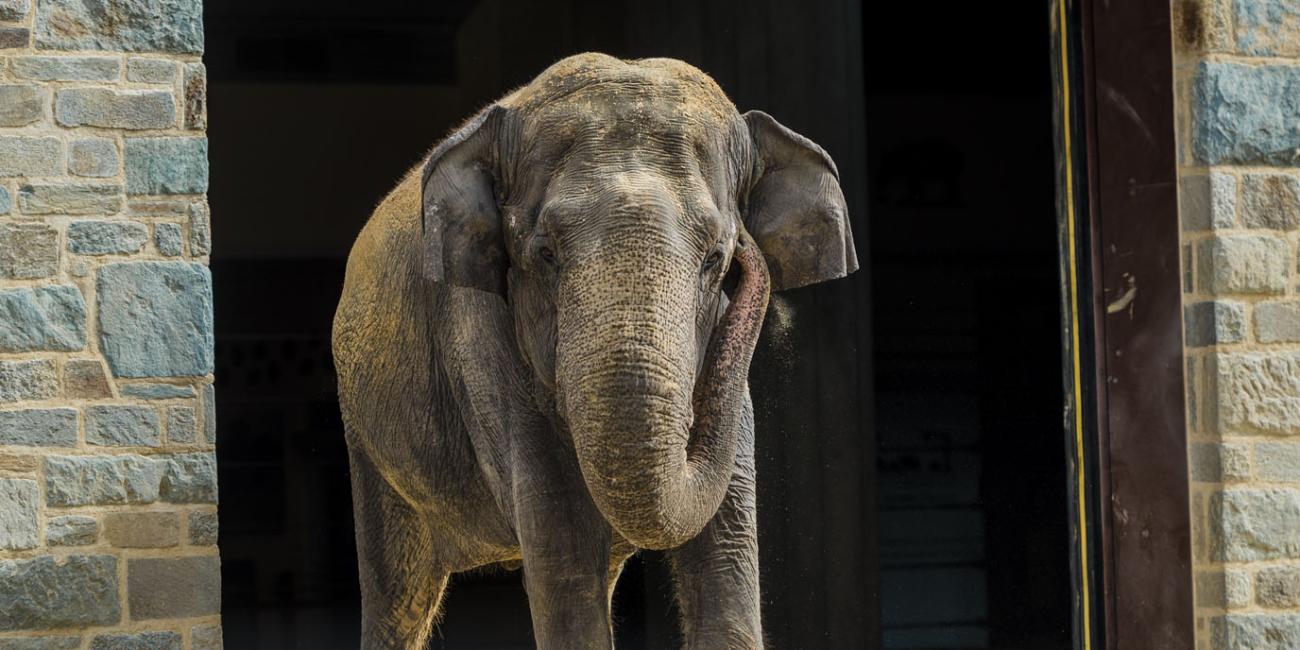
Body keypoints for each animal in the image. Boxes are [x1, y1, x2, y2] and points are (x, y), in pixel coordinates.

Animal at [330, 52, 857, 650]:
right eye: (545, 254)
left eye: (716, 259)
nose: (749, 252)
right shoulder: (480, 345)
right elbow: (564, 552)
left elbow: (725, 556)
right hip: (366, 442)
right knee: (397, 592)